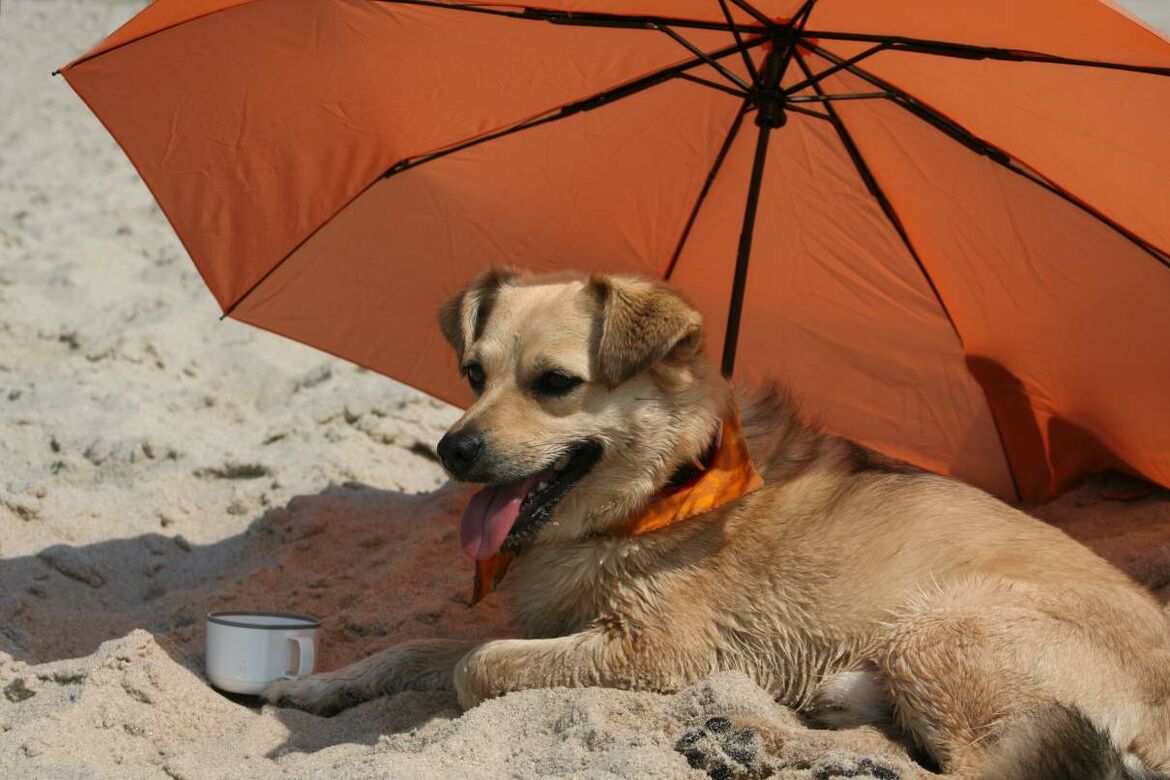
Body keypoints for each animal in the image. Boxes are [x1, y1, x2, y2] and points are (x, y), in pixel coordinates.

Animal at [265, 270, 1170, 780]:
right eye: (471, 373)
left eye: (554, 383)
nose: (453, 450)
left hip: (943, 629)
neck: (657, 489)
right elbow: (417, 648)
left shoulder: (654, 652)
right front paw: (317, 684)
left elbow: (472, 666)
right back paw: (770, 740)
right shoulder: (557, 627)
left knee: (983, 774)